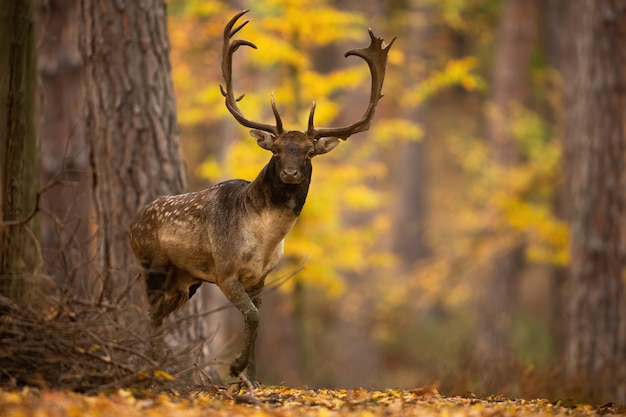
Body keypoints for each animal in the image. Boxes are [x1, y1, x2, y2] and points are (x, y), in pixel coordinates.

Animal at [127, 9, 392, 386]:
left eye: (309, 152)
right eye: (277, 150)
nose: (291, 173)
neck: (266, 238)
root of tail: (131, 222)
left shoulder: (262, 277)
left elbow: (257, 320)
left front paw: (254, 377)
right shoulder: (225, 272)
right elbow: (252, 317)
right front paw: (236, 369)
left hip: (186, 279)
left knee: (160, 313)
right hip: (152, 265)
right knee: (150, 314)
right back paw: (153, 370)